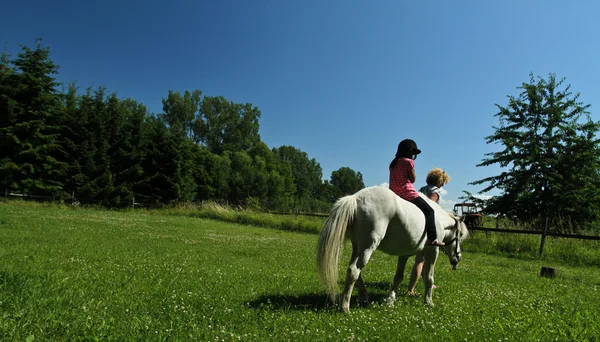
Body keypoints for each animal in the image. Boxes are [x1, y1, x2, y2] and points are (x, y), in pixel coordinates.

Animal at [316, 186, 466, 312]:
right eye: (460, 235)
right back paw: (345, 306)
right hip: (368, 247)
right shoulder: (432, 252)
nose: (458, 258)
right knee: (354, 270)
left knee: (355, 271)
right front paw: (428, 302)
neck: (438, 220)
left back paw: (363, 298)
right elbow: (429, 277)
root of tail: (356, 197)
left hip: (358, 247)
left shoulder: (404, 254)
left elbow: (398, 277)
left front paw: (390, 300)